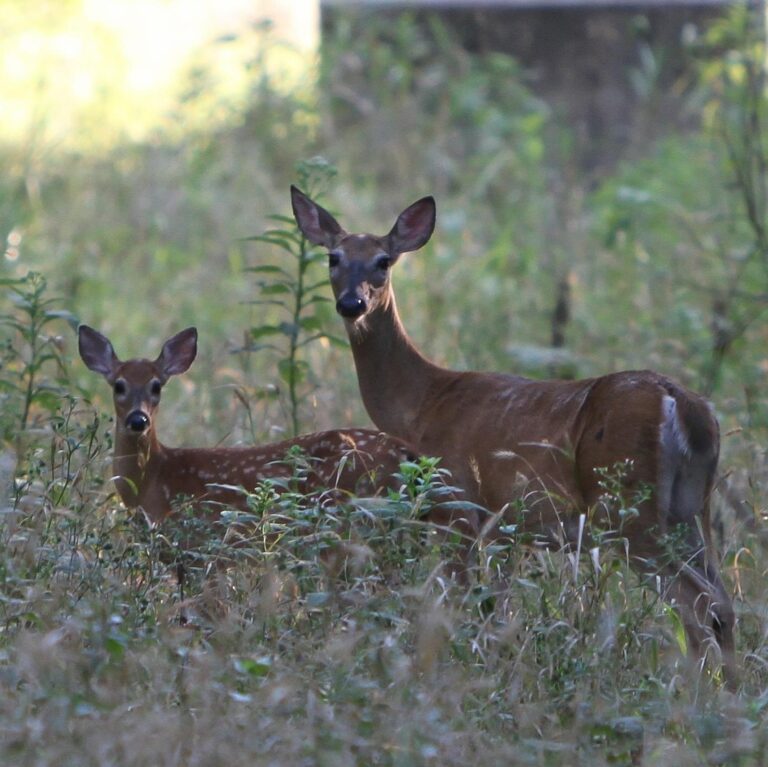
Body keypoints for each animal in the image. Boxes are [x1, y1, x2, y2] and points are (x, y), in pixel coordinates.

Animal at [290, 185, 738, 688]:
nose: (352, 304)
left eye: (383, 261)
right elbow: (497, 610)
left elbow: (462, 605)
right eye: (333, 257)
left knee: (697, 602)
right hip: (691, 506)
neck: (424, 403)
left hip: (626, 506)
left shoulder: (459, 508)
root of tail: (685, 406)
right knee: (723, 603)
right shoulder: (508, 528)